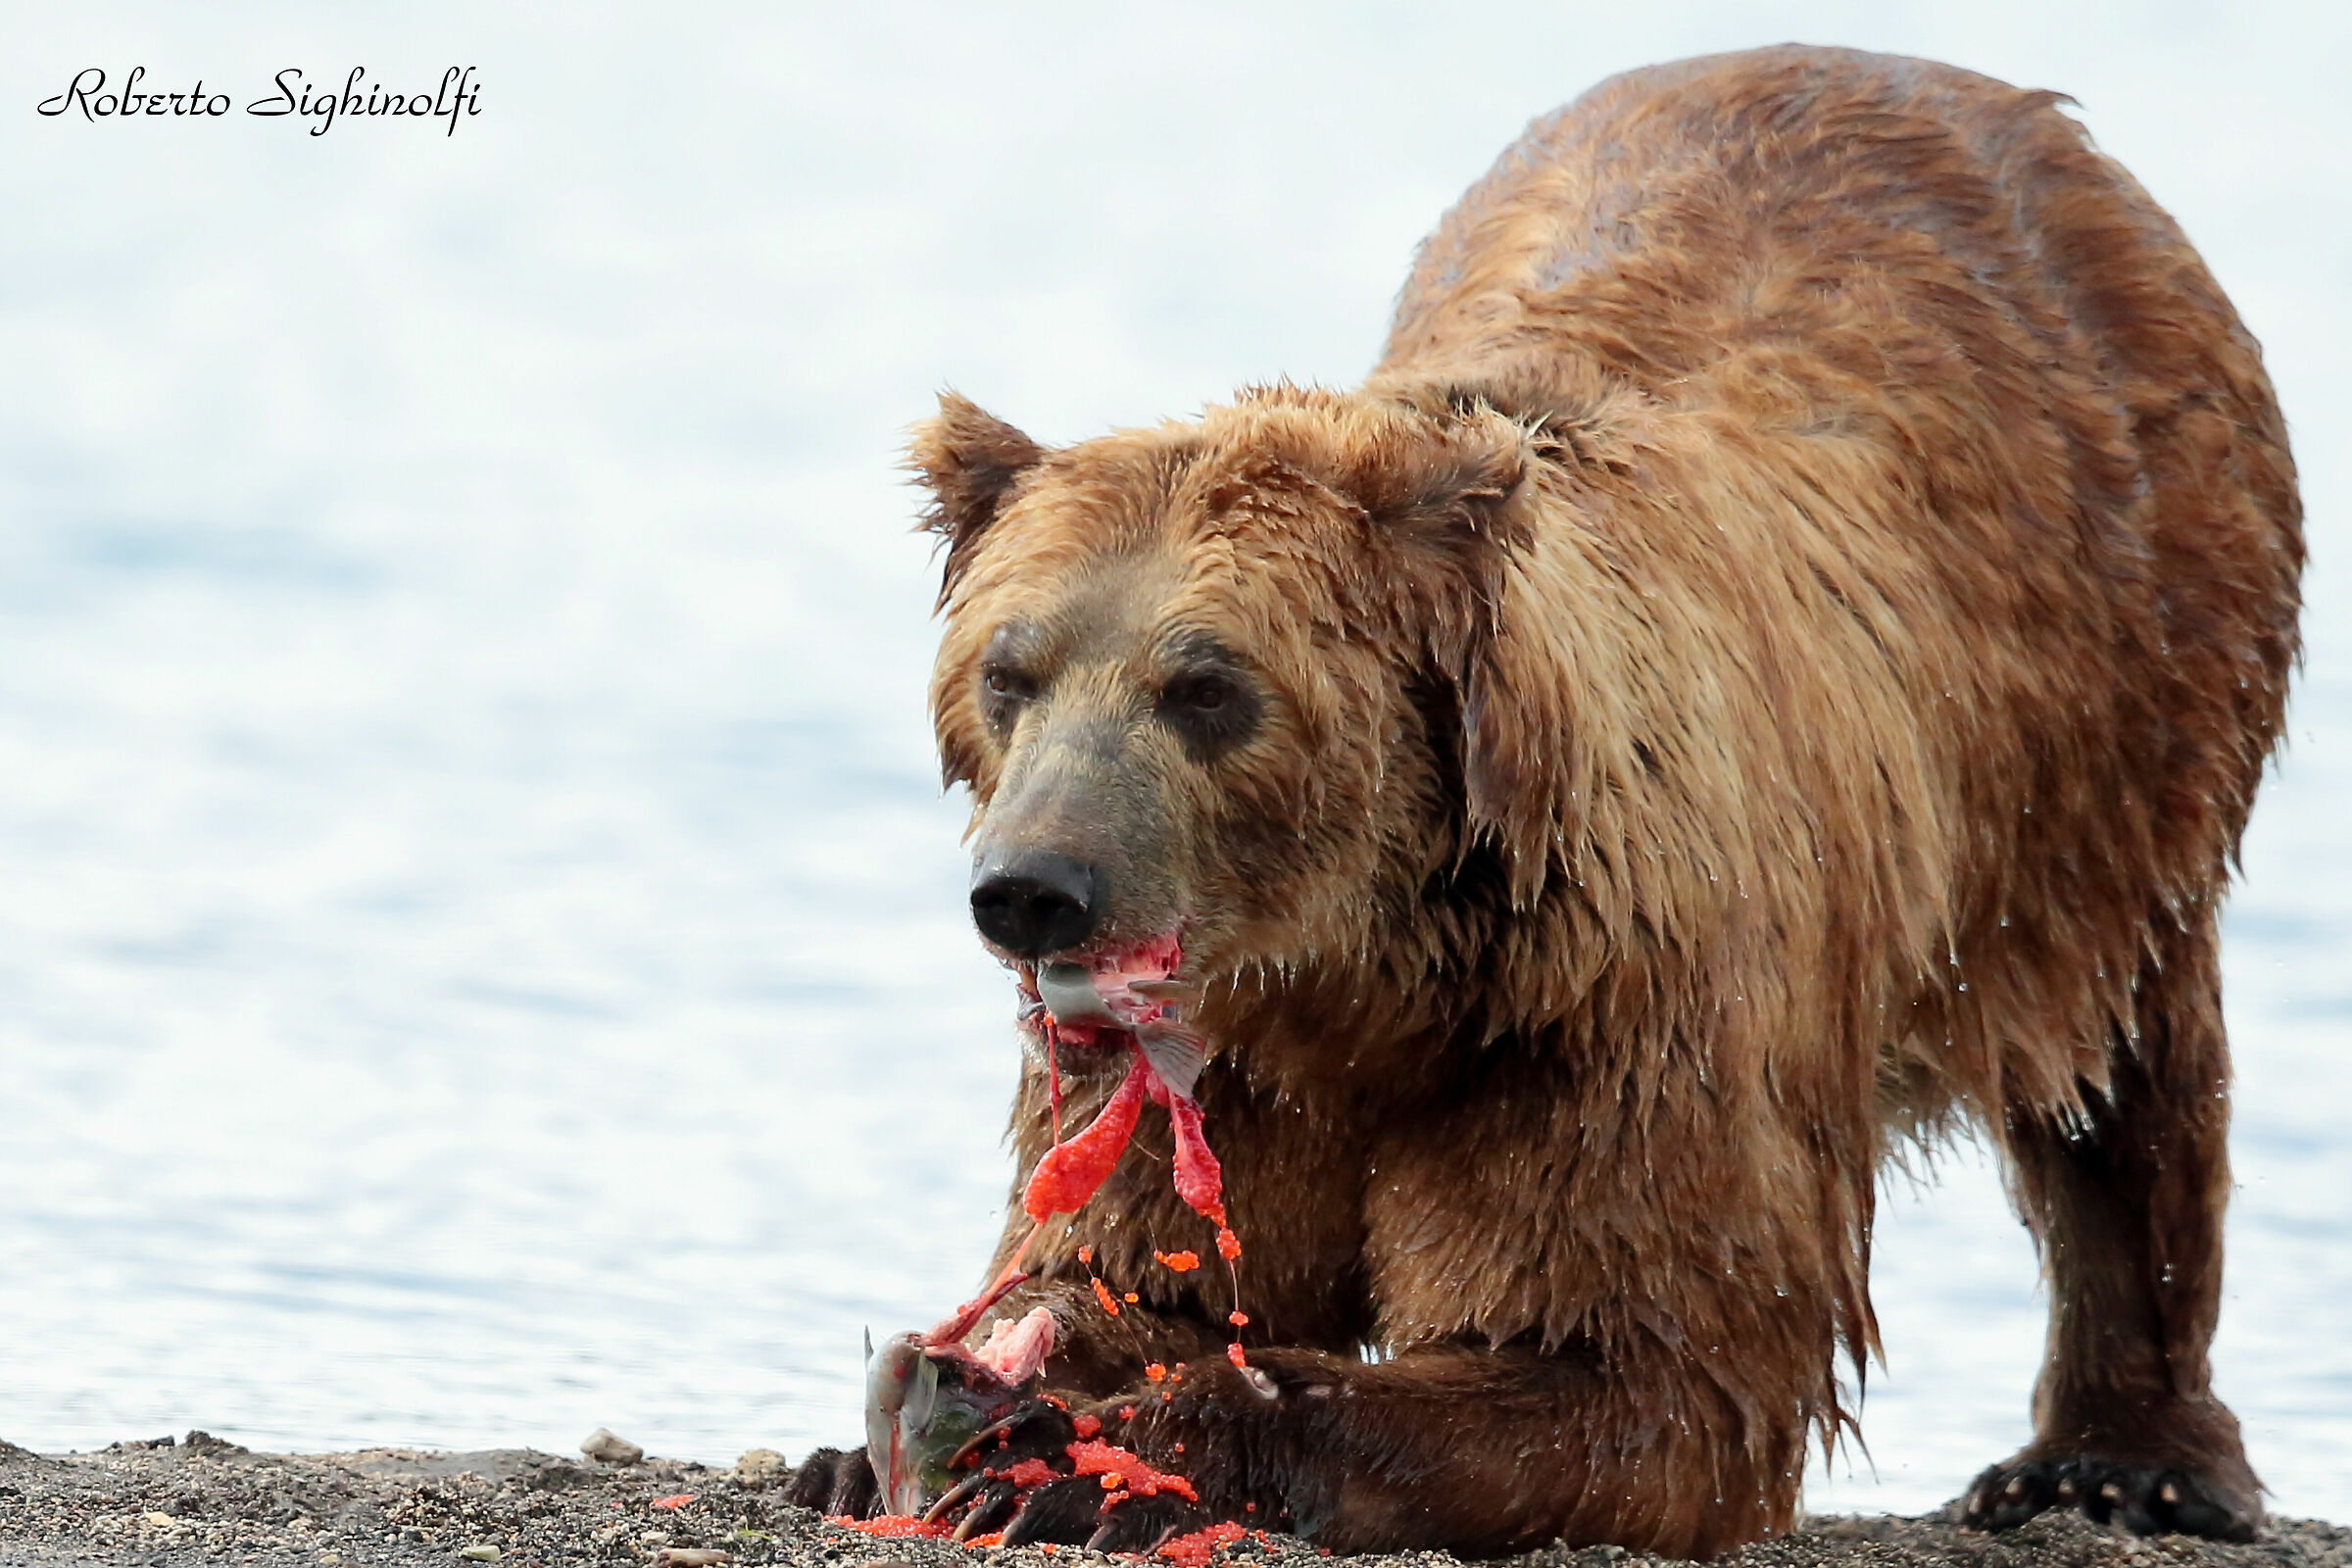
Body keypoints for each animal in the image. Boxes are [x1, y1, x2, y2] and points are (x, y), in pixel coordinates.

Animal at [788, 44, 2302, 1559]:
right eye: (1009, 671)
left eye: (1206, 684)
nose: (1033, 889)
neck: (1366, 968)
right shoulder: (1222, 1070)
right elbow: (1129, 1265)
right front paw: (911, 1413)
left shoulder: (1601, 1018)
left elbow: (1631, 1363)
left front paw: (1095, 1453)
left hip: (2120, 710)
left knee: (2126, 1062)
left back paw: (2119, 1460)